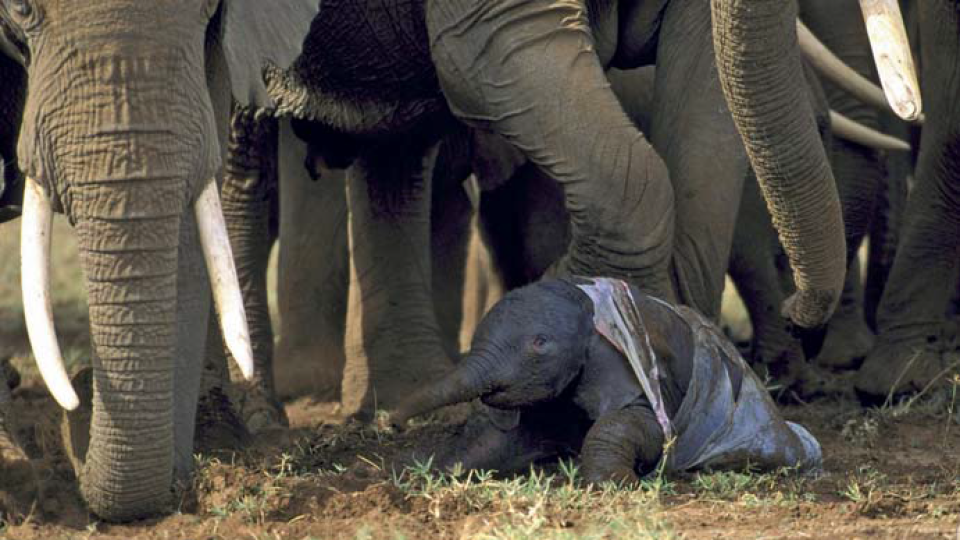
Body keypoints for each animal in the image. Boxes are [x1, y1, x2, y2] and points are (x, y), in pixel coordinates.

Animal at [388, 276, 816, 484]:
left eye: (539, 343)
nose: (390, 422)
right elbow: (498, 438)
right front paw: (432, 471)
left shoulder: (620, 367)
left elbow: (640, 425)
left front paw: (614, 483)